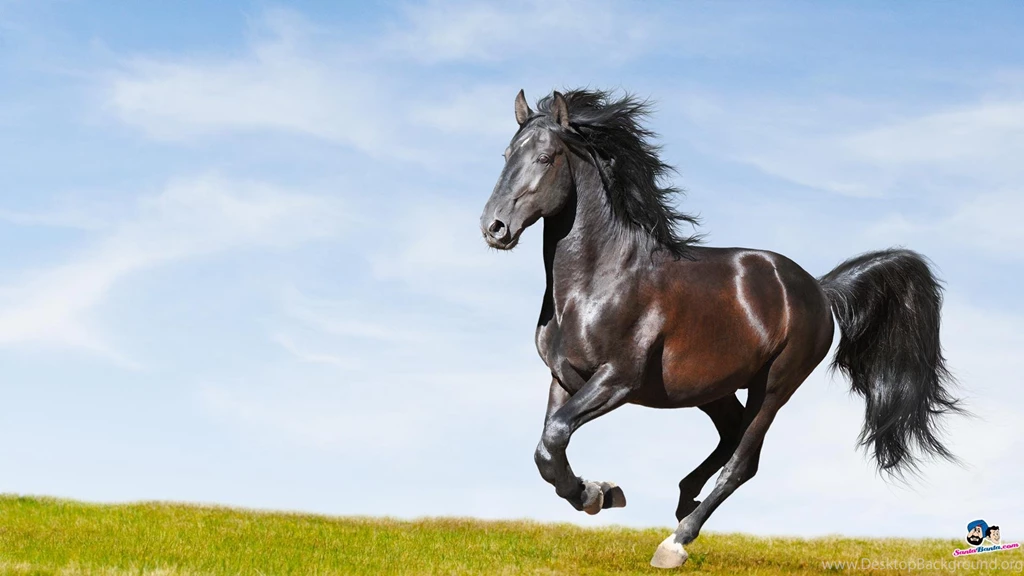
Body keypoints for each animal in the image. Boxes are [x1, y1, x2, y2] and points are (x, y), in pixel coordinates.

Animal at [478, 88, 961, 568]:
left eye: (545, 158)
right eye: (506, 154)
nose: (494, 227)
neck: (598, 283)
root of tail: (820, 290)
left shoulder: (617, 379)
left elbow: (554, 436)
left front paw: (598, 494)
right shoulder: (564, 378)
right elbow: (548, 449)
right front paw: (600, 492)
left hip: (774, 385)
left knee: (743, 461)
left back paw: (676, 541)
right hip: (711, 388)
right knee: (730, 437)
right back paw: (684, 502)